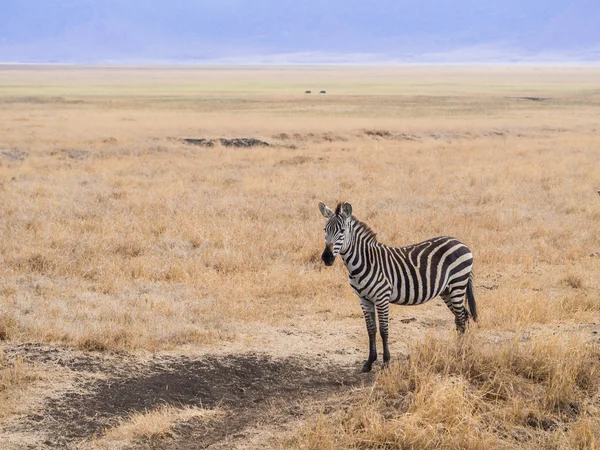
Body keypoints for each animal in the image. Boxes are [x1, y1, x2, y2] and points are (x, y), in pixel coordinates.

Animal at [318, 202, 478, 370]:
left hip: (457, 284)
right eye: (325, 229)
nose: (326, 257)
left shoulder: (382, 297)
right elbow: (371, 329)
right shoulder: (364, 299)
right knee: (463, 316)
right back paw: (463, 350)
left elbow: (383, 330)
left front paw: (386, 362)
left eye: (342, 231)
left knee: (460, 319)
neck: (365, 261)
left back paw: (459, 353)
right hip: (447, 290)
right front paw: (369, 362)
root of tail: (461, 242)